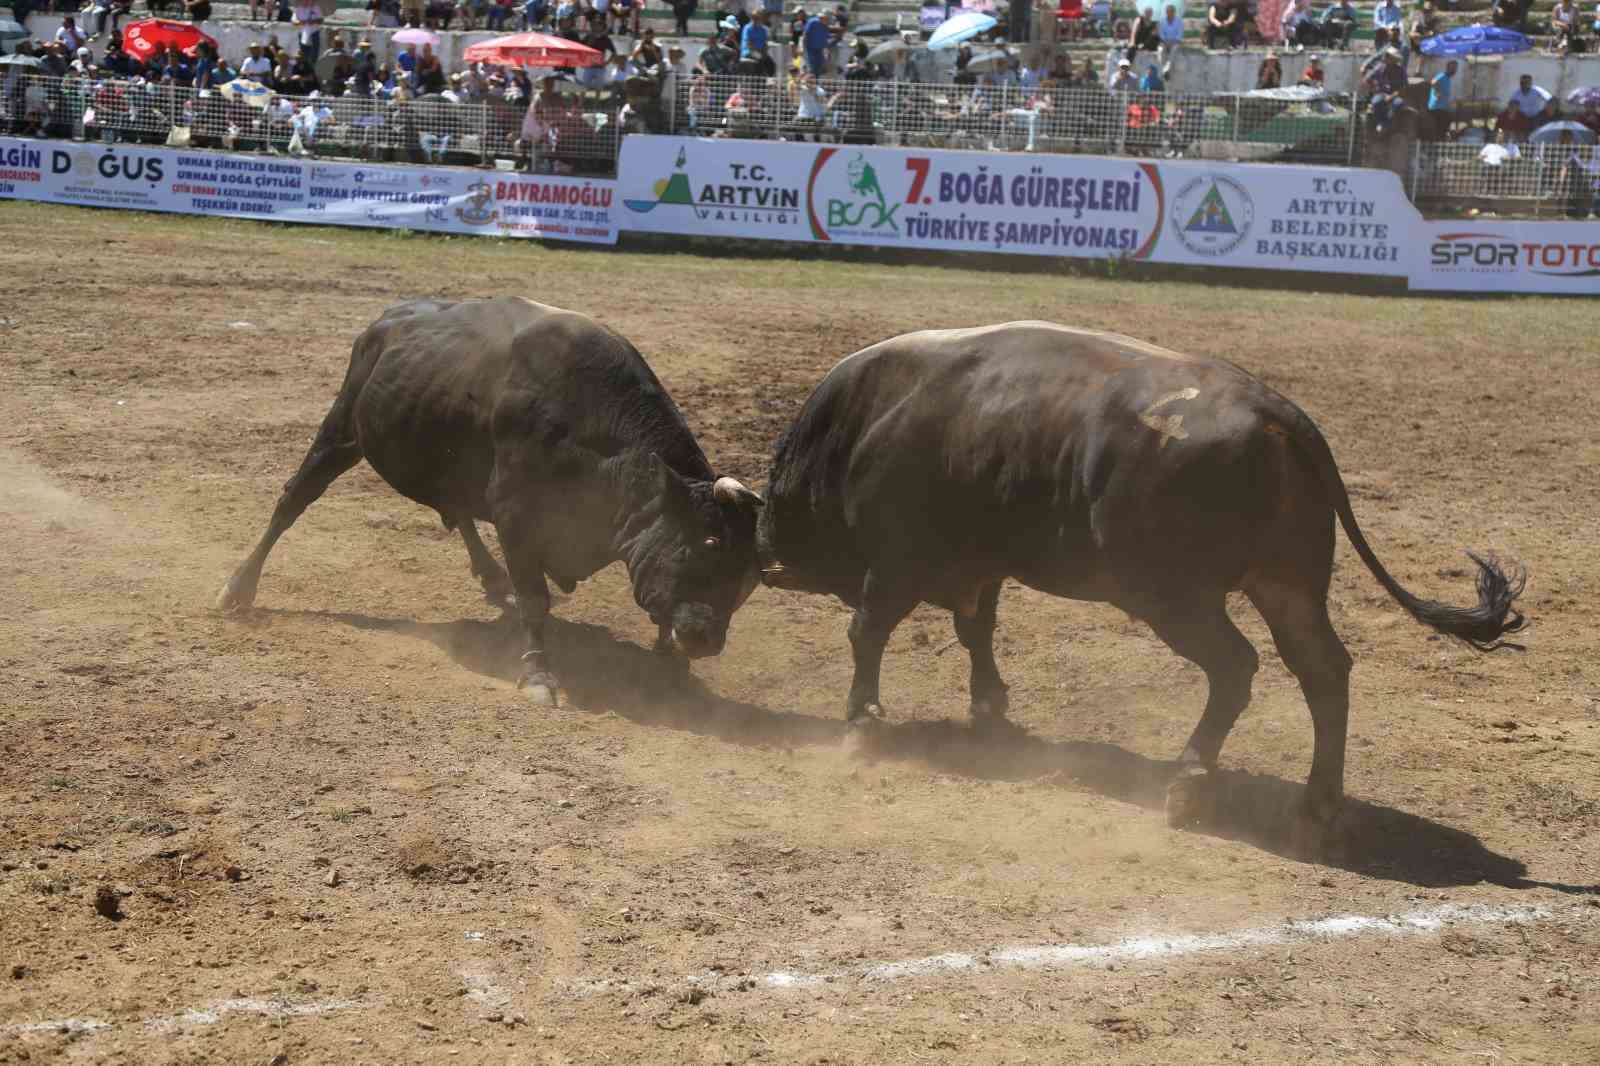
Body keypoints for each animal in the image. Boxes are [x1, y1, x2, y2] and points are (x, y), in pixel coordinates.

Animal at [761, 321, 1523, 845]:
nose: (767, 554)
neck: (867, 421)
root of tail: (1277, 414)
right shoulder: (981, 566)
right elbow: (976, 631)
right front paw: (990, 709)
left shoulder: (899, 560)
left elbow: (868, 629)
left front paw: (862, 722)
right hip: (1286, 586)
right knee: (1323, 670)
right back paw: (1317, 803)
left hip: (1174, 598)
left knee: (1237, 667)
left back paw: (1187, 782)